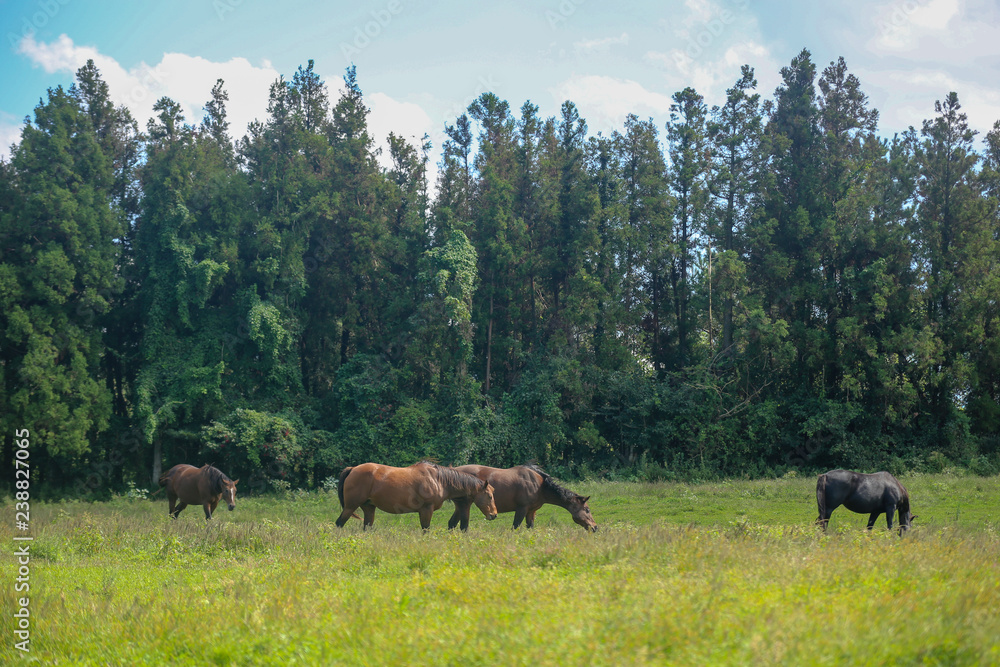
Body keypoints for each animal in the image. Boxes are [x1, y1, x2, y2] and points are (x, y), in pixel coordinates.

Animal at [334, 462, 498, 528]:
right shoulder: (426, 510)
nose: (494, 514)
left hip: (369, 508)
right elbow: (426, 529)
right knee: (339, 523)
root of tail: (353, 469)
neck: (437, 480)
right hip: (350, 507)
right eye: (489, 496)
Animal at [444, 464, 592, 532]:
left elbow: (530, 528)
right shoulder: (522, 509)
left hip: (460, 506)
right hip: (465, 505)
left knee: (452, 524)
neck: (539, 486)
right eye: (587, 510)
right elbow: (515, 527)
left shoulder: (531, 511)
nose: (595, 527)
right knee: (463, 526)